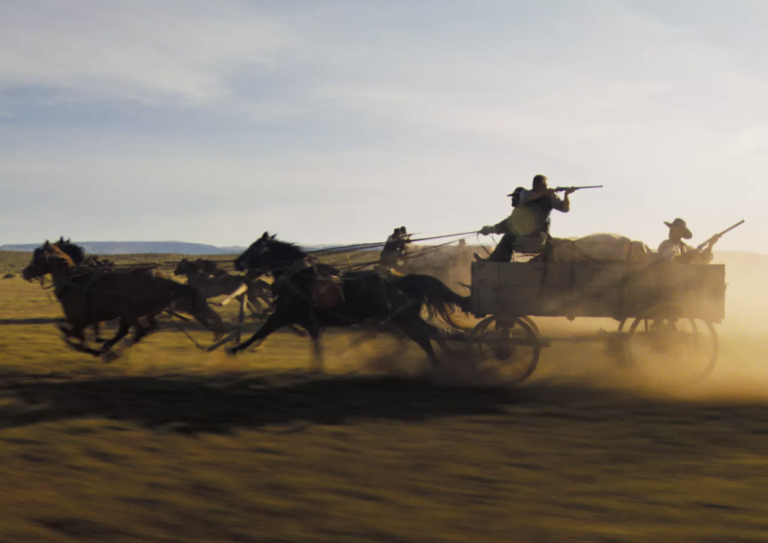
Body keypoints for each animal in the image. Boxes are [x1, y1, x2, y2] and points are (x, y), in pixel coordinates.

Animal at [22, 242, 226, 359]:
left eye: (37, 257)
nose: (25, 272)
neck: (74, 280)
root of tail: (161, 277)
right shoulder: (87, 322)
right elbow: (77, 336)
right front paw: (98, 346)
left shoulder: (79, 321)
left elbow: (71, 337)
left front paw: (94, 349)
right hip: (137, 313)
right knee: (140, 330)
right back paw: (111, 348)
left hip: (129, 312)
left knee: (137, 332)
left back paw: (111, 350)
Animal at [229, 232, 471, 370]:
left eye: (254, 248)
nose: (236, 262)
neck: (299, 276)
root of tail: (405, 280)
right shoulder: (309, 322)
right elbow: (316, 347)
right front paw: (318, 368)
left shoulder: (283, 314)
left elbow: (262, 331)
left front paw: (234, 350)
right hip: (404, 319)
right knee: (430, 334)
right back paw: (445, 362)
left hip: (403, 319)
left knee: (427, 336)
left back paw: (445, 364)